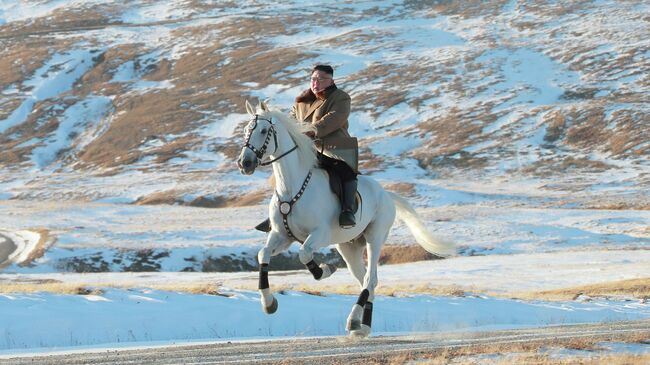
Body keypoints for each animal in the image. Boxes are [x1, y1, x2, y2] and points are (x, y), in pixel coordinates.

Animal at [235, 99, 454, 336]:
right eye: (246, 130)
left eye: (263, 130)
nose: (244, 163)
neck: (292, 188)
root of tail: (386, 194)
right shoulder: (281, 236)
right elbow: (263, 254)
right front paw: (269, 303)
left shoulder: (319, 234)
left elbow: (304, 254)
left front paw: (325, 270)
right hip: (348, 247)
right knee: (366, 281)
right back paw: (362, 325)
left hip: (374, 238)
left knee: (370, 279)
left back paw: (354, 322)